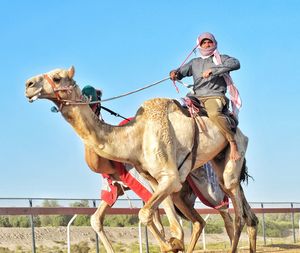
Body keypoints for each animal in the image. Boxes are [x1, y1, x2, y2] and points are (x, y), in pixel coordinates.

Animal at [25, 66, 258, 252]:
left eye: (57, 78)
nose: (29, 84)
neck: (135, 137)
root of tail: (240, 131)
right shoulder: (154, 181)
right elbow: (175, 231)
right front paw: (172, 244)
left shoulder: (169, 177)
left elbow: (146, 215)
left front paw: (169, 245)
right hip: (214, 167)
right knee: (247, 218)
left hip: (229, 163)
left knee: (236, 216)